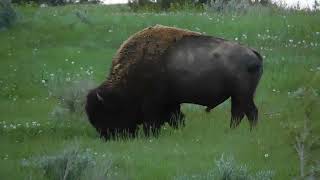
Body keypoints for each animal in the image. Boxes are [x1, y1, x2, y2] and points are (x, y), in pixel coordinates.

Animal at [85, 24, 262, 139]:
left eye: (105, 112)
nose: (106, 136)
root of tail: (253, 53)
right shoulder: (171, 103)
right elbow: (177, 119)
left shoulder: (153, 104)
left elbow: (154, 122)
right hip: (238, 96)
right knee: (239, 113)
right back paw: (232, 132)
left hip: (242, 95)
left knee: (249, 113)